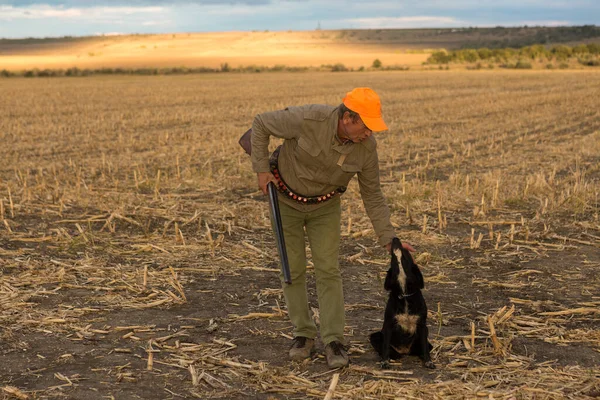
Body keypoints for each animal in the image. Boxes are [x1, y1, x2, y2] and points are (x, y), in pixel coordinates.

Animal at [368, 236, 434, 370]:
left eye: (405, 251)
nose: (395, 237)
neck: (404, 294)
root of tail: (404, 350)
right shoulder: (388, 325)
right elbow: (385, 346)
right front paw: (385, 361)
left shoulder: (422, 326)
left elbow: (425, 346)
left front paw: (428, 361)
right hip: (375, 336)